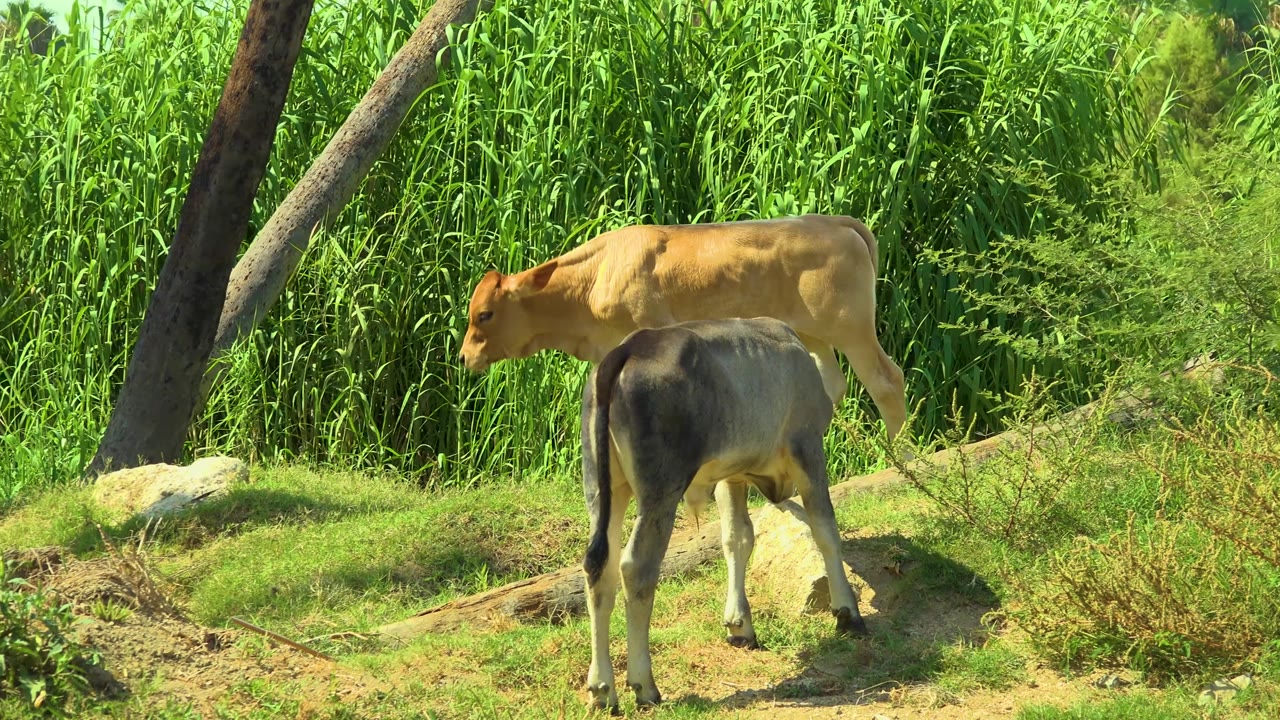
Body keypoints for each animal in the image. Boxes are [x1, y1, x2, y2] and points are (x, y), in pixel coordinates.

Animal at [458, 214, 908, 443]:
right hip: (816, 335)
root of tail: (836, 222)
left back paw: (898, 455)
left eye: (485, 314)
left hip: (852, 329)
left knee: (886, 381)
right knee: (832, 386)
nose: (464, 356)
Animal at [578, 316, 867, 712]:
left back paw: (602, 689)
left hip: (602, 485)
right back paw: (644, 685)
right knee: (636, 568)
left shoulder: (731, 474)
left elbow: (737, 538)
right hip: (660, 490)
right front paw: (847, 610)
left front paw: (739, 624)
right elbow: (825, 529)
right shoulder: (807, 447)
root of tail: (628, 349)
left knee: (599, 567)